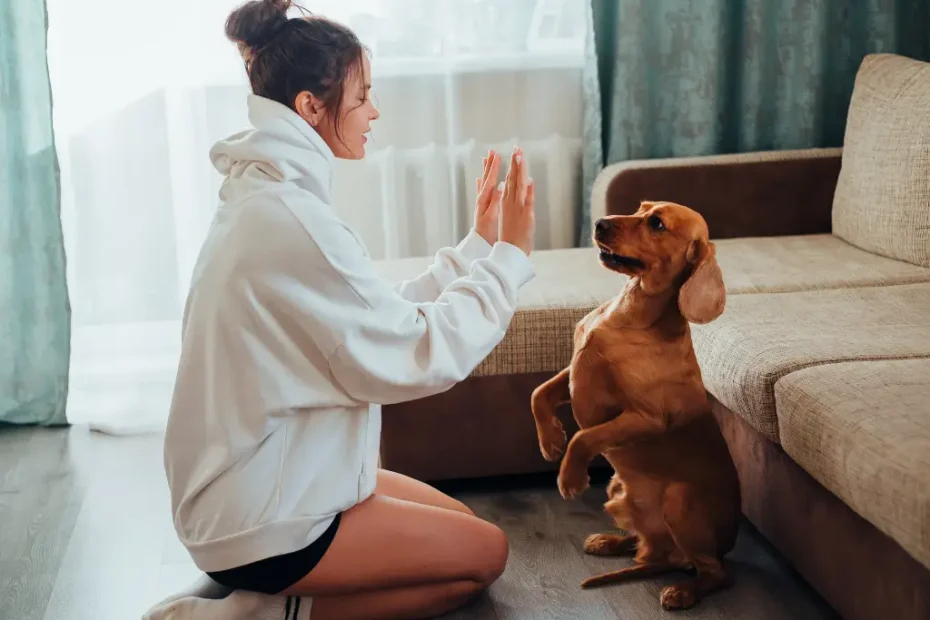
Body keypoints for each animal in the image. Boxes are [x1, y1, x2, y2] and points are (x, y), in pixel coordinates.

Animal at [528, 202, 740, 612]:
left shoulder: (645, 418)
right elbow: (538, 394)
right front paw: (550, 441)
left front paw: (570, 478)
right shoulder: (574, 374)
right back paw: (611, 541)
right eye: (640, 208)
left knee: (716, 573)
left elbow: (584, 438)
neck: (628, 312)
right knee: (647, 546)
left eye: (657, 223)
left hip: (679, 500)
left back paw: (684, 591)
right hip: (619, 490)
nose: (599, 223)